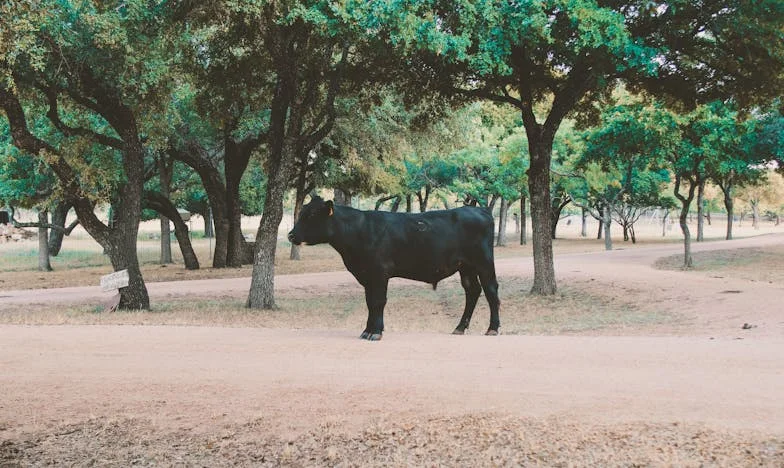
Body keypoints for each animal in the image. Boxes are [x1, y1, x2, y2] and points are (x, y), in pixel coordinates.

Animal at [284, 197, 500, 340]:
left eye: (312, 215)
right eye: (302, 213)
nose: (291, 235)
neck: (360, 231)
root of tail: (479, 210)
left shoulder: (380, 272)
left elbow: (379, 301)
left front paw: (375, 332)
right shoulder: (367, 275)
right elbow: (370, 302)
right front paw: (367, 330)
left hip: (484, 262)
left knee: (490, 290)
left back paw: (493, 328)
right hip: (466, 266)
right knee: (472, 291)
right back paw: (460, 328)